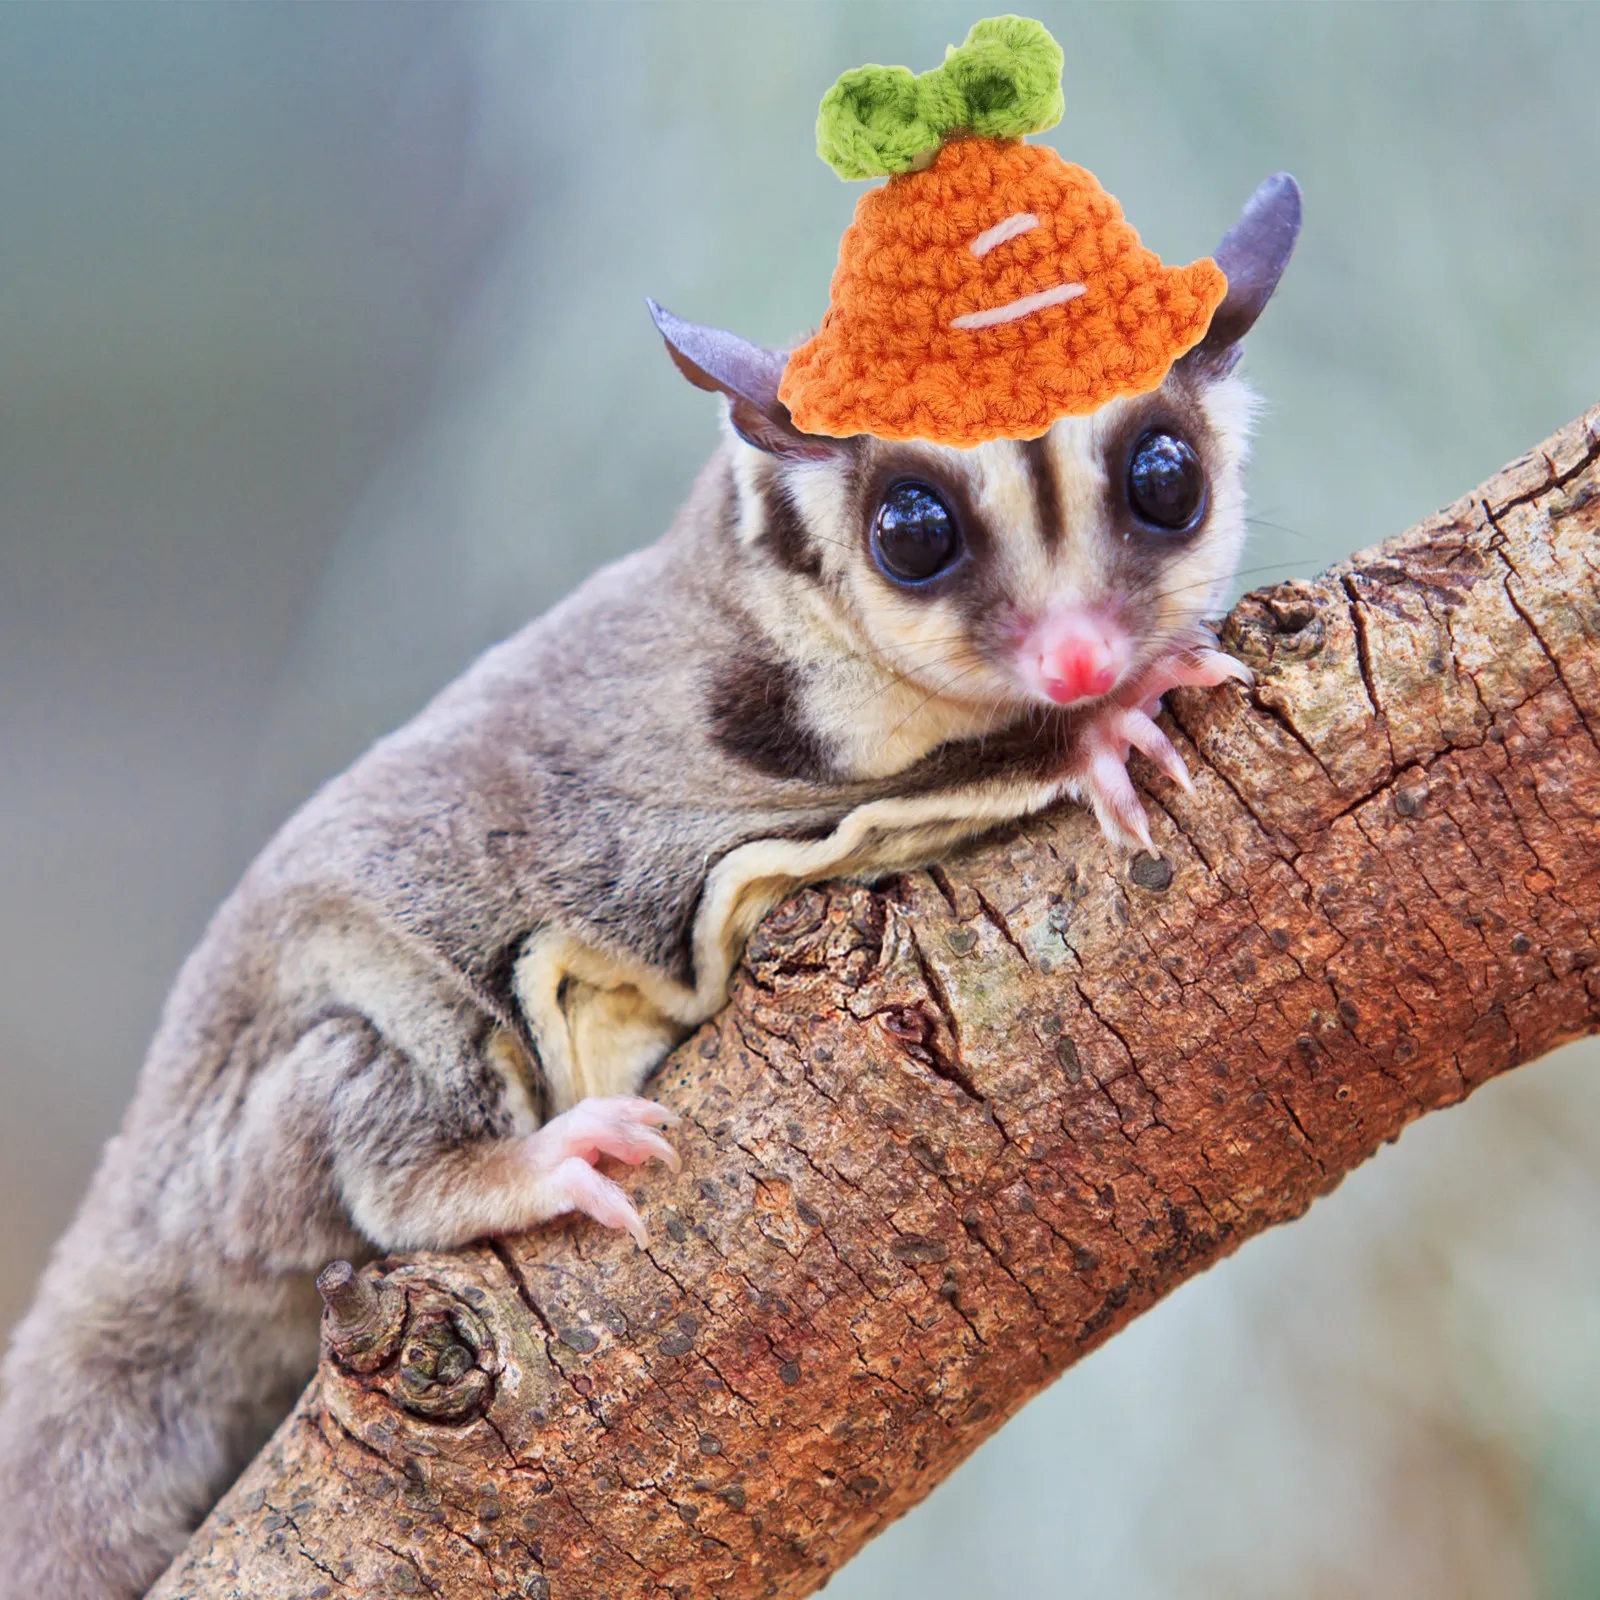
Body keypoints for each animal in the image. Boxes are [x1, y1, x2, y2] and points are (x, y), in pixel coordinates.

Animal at [0, 173, 1298, 1599]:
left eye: (1165, 480)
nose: (1076, 660)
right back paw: (520, 1166)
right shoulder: (692, 795)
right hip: (278, 1120)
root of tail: (132, 1209)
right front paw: (1106, 726)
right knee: (381, 1086)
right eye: (913, 532)